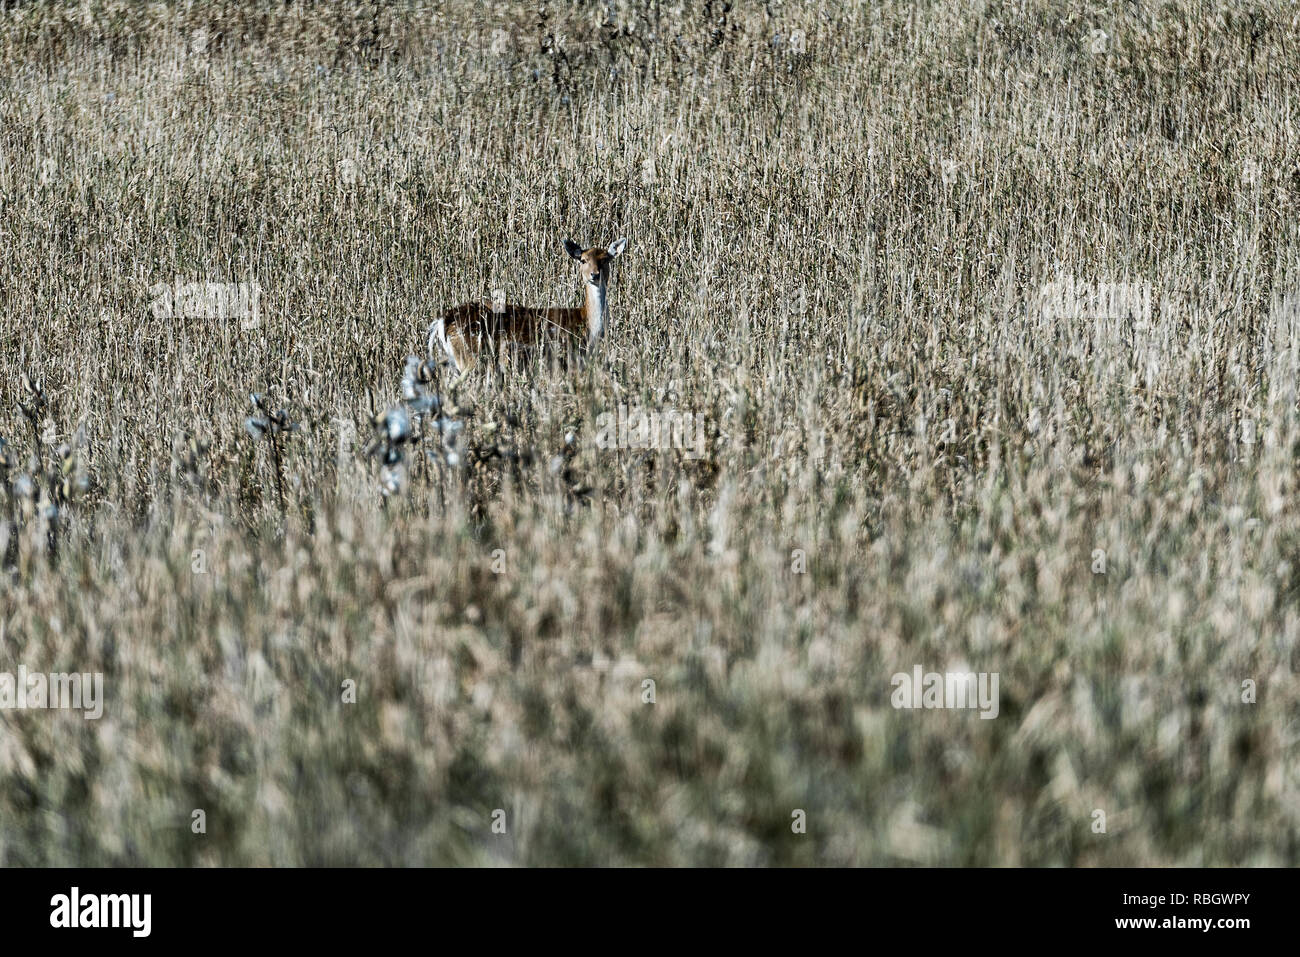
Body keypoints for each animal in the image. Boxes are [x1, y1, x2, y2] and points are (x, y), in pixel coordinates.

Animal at [428, 237, 628, 378]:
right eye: (583, 260)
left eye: (606, 259)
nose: (594, 274)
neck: (588, 327)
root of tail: (442, 321)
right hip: (470, 357)